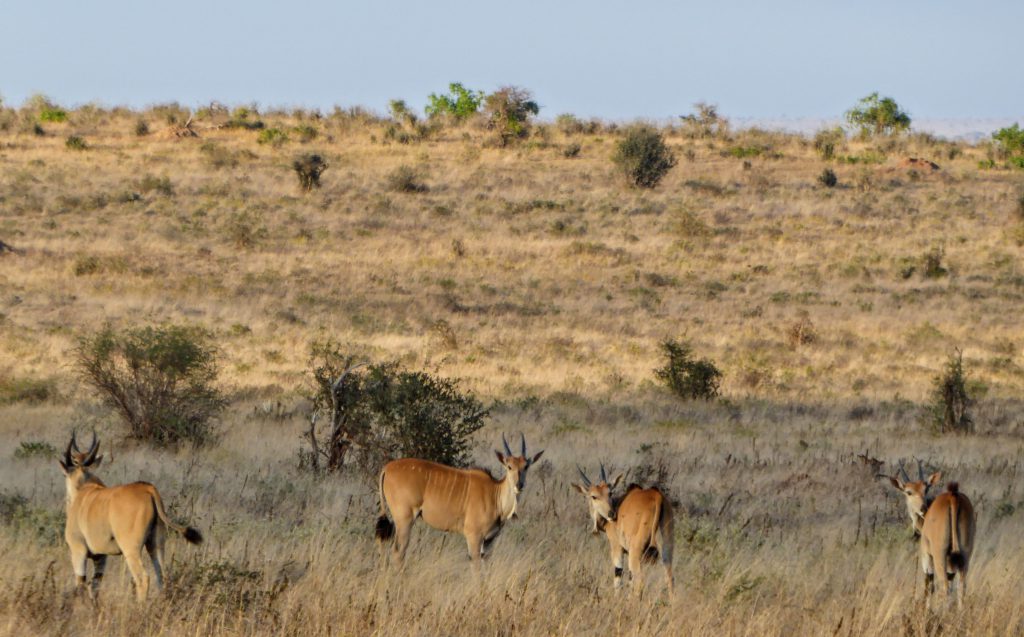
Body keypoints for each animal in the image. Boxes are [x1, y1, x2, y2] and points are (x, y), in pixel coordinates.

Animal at [58, 434, 201, 598]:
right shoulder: (101, 557)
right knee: (162, 576)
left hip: (131, 549)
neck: (84, 489)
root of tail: (149, 489)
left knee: (143, 578)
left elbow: (81, 585)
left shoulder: (78, 551)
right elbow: (95, 586)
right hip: (155, 546)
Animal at [372, 436, 540, 565]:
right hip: (404, 520)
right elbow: (476, 566)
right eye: (509, 466)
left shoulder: (489, 540)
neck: (494, 494)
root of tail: (387, 468)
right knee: (398, 552)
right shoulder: (473, 536)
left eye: (526, 466)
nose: (519, 485)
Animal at [573, 466, 675, 598]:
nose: (611, 514)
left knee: (639, 582)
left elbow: (618, 576)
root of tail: (656, 496)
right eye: (594, 496)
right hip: (666, 551)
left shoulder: (617, 548)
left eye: (610, 493)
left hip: (635, 553)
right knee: (670, 580)